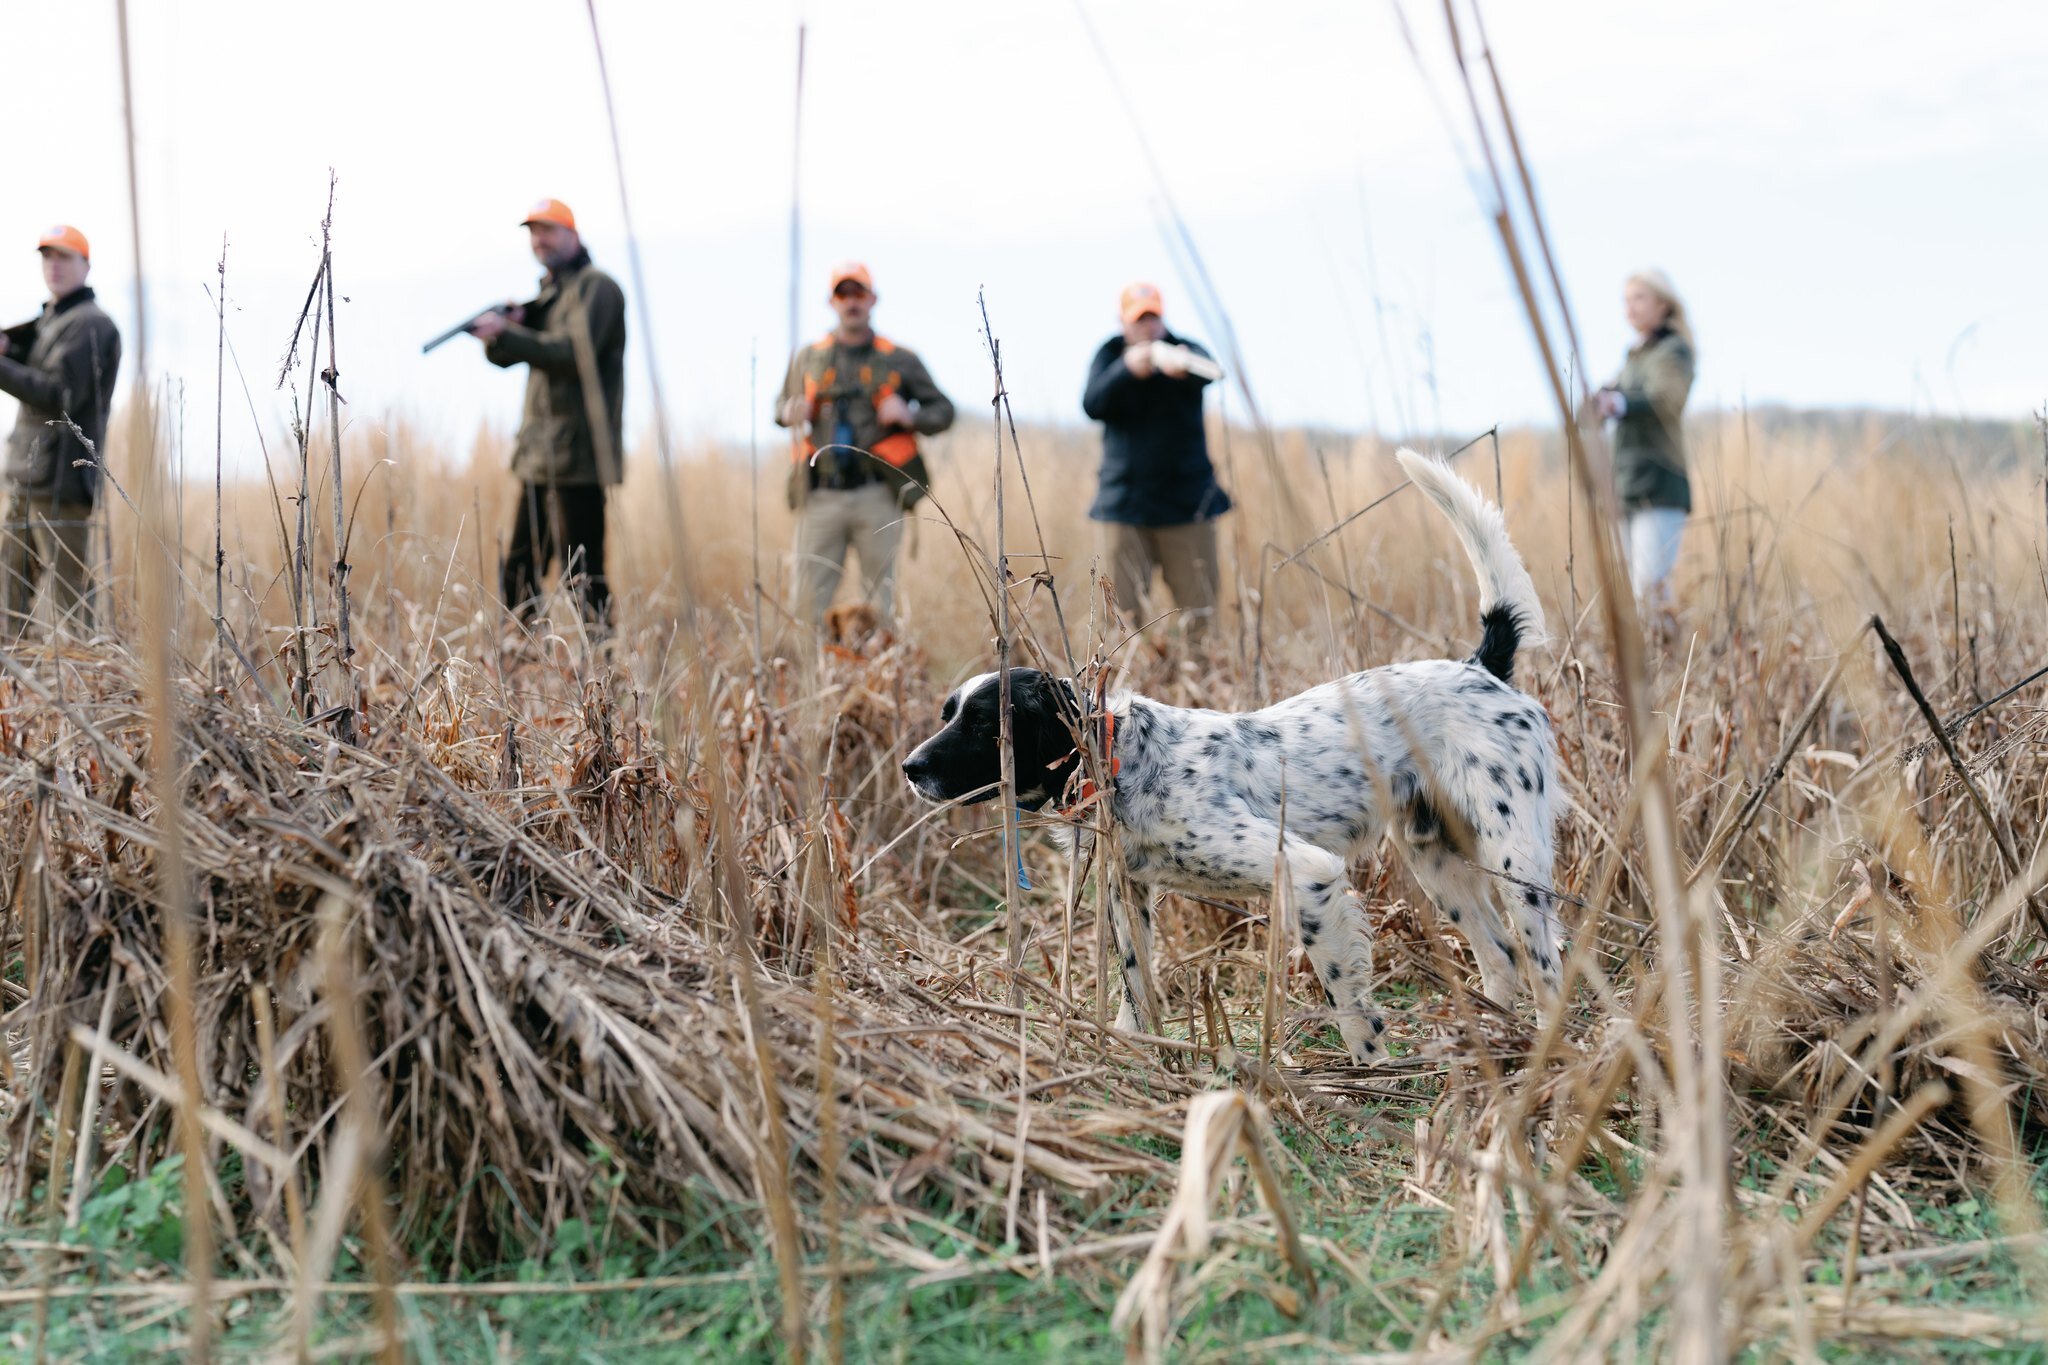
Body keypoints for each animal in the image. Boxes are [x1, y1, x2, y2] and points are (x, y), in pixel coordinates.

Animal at [905, 454, 1556, 1064]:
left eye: (986, 726)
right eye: (947, 714)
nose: (911, 768)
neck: (1124, 763)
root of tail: (1480, 667)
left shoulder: (1307, 871)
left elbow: (1347, 998)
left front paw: (1369, 1073)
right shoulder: (1127, 891)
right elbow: (1134, 985)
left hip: (1515, 858)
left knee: (1546, 968)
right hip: (1434, 856)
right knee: (1501, 956)